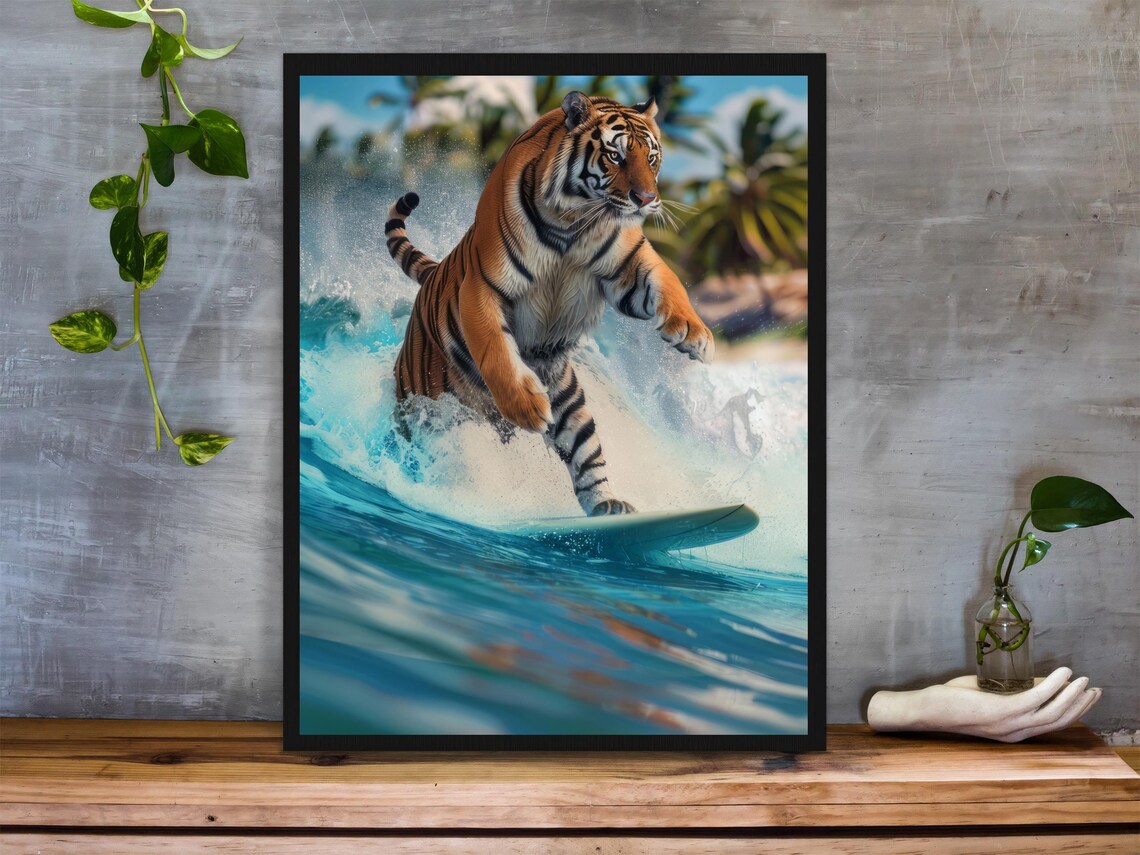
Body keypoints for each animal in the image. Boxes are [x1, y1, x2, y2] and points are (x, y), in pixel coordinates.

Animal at [385, 90, 713, 516]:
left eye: (652, 158)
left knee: (586, 455)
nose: (647, 200)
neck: (576, 221)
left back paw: (609, 507)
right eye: (616, 156)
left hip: (570, 403)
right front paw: (526, 407)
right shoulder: (482, 287)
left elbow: (670, 286)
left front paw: (694, 335)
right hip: (426, 407)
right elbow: (495, 350)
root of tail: (435, 271)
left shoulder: (628, 267)